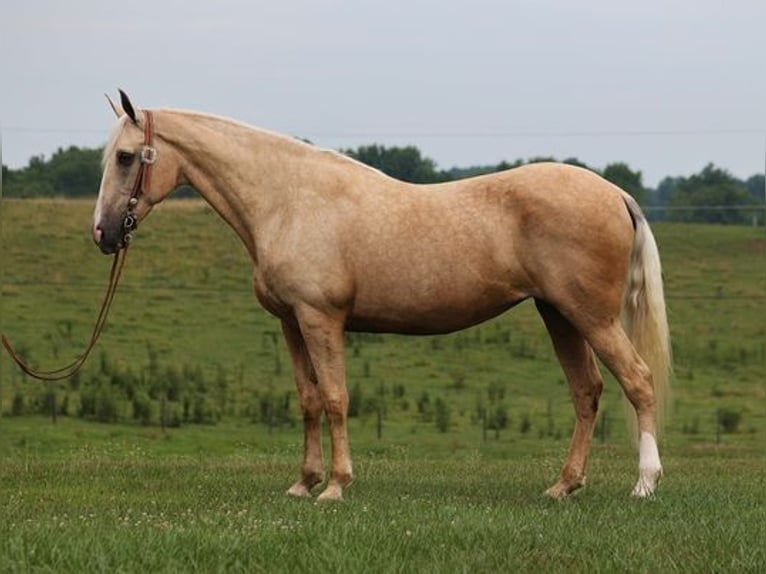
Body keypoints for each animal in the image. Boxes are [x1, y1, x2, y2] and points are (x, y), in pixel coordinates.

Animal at [94, 92, 672, 502]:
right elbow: (308, 400)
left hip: (591, 317)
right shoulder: (290, 322)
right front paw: (303, 483)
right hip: (559, 315)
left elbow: (335, 398)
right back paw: (563, 486)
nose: (103, 233)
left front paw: (335, 486)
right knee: (587, 392)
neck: (288, 199)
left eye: (125, 157)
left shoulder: (320, 318)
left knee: (638, 382)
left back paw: (644, 483)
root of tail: (615, 193)